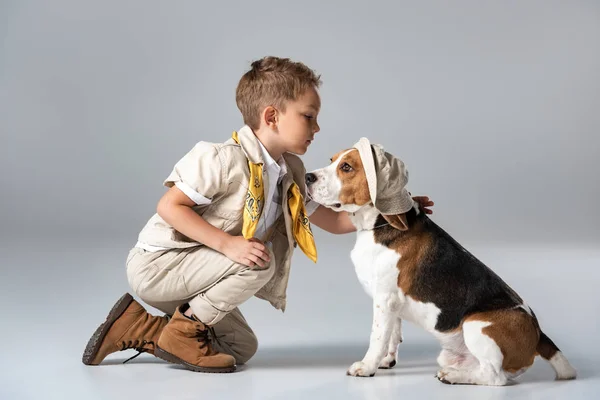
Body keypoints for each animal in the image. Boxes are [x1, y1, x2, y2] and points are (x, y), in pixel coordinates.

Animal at [308, 148, 576, 386]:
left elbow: (377, 336)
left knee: (495, 377)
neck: (378, 224)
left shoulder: (384, 299)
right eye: (331, 160)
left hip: (476, 325)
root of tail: (538, 333)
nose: (308, 177)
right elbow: (392, 334)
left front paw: (366, 366)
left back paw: (453, 377)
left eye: (346, 167)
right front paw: (386, 361)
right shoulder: (392, 304)